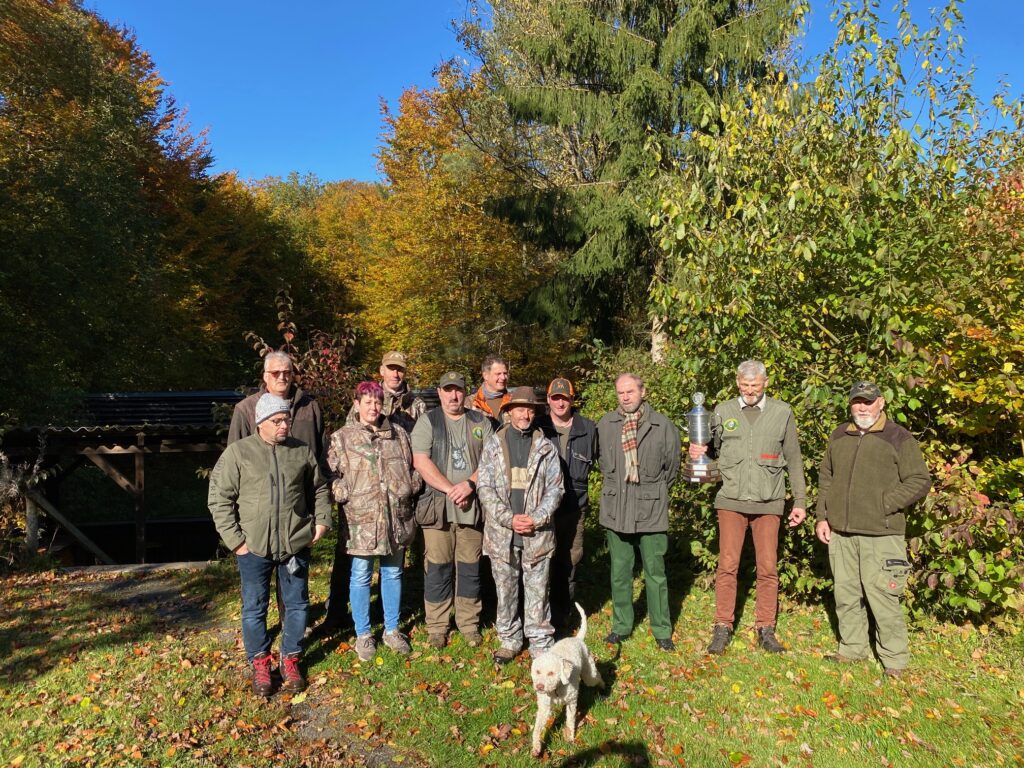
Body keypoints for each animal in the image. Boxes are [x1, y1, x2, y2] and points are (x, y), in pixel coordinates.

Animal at [532, 606, 602, 761]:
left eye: (551, 673)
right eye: (537, 672)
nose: (539, 687)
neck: (556, 690)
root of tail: (577, 638)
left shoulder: (571, 702)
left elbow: (570, 720)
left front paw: (570, 738)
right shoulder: (544, 707)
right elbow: (537, 728)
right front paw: (536, 747)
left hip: (589, 674)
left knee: (597, 677)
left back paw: (603, 686)